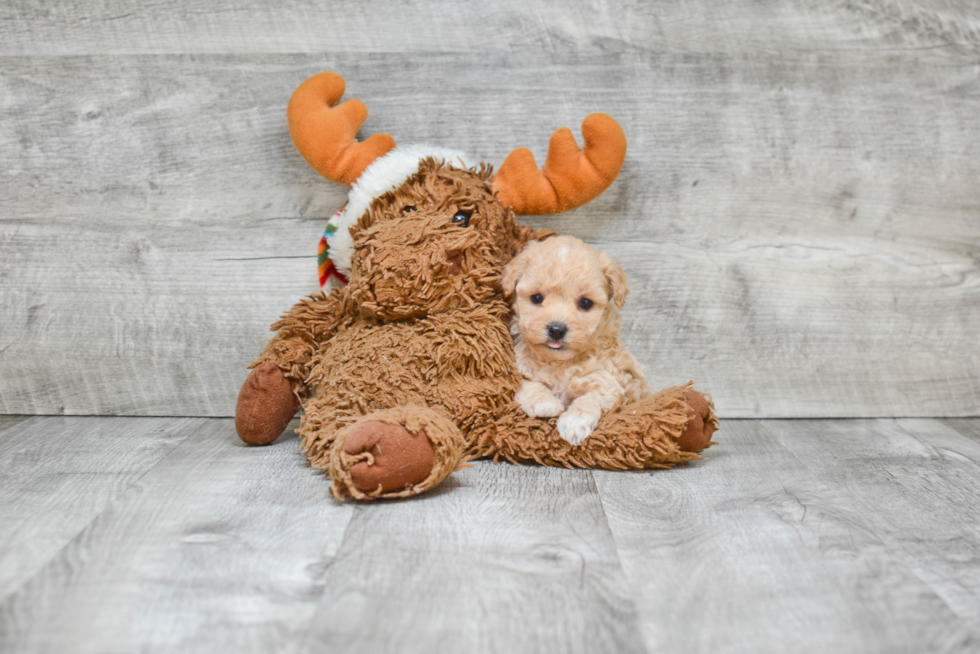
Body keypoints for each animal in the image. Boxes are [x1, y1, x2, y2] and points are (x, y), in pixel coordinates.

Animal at [506, 236, 652, 446]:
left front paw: (575, 422)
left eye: (585, 303)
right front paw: (544, 403)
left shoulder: (606, 379)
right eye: (536, 298)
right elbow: (530, 385)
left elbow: (590, 398)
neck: (559, 363)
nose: (556, 330)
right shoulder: (520, 370)